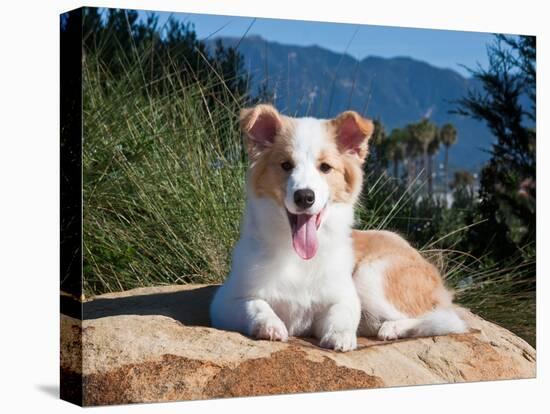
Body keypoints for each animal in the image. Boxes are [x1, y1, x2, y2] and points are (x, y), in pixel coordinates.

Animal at [209, 104, 468, 352]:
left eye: (325, 167)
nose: (305, 197)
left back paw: (392, 328)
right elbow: (257, 305)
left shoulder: (344, 298)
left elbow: (341, 315)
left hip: (371, 275)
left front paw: (341, 337)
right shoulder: (225, 301)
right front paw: (271, 325)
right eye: (286, 165)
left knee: (446, 319)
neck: (296, 257)